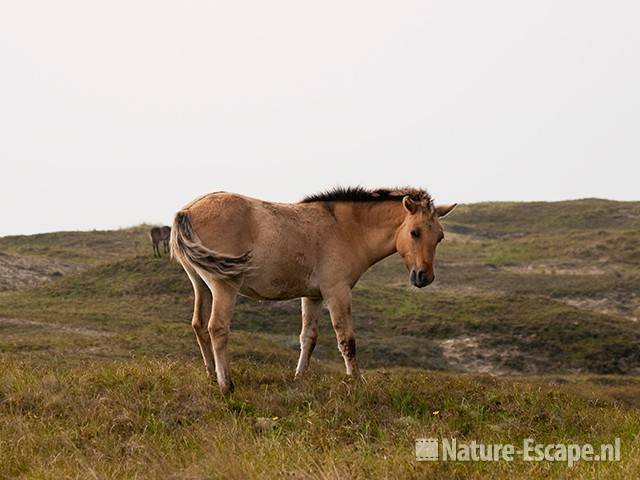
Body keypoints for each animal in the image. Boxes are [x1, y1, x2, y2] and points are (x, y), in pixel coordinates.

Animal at [172, 188, 458, 394]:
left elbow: (308, 338)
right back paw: (226, 385)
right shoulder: (337, 292)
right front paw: (356, 381)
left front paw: (299, 377)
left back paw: (212, 376)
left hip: (201, 285)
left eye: (440, 237)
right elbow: (346, 340)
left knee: (199, 326)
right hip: (224, 287)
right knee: (217, 329)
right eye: (415, 232)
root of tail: (187, 211)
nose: (424, 277)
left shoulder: (312, 296)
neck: (346, 228)